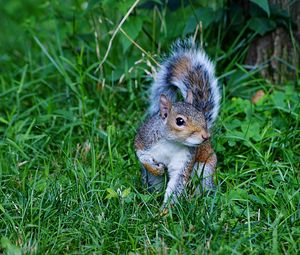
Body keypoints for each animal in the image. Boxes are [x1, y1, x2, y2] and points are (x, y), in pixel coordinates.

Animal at [134, 38, 220, 206]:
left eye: (202, 116)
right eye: (179, 121)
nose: (205, 136)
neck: (171, 143)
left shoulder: (185, 160)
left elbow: (176, 185)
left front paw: (165, 211)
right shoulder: (144, 141)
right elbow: (142, 156)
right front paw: (156, 168)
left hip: (205, 168)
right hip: (152, 180)